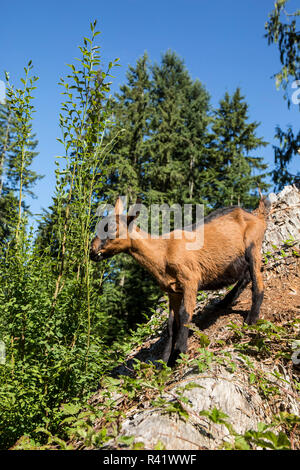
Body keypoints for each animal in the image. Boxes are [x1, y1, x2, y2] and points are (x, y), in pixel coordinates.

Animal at [89, 196, 270, 366]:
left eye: (112, 228)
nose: (92, 251)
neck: (163, 252)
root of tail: (255, 216)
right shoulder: (173, 291)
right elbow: (171, 325)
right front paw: (163, 360)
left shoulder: (190, 280)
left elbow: (184, 314)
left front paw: (179, 353)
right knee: (246, 276)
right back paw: (224, 302)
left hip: (253, 245)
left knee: (257, 281)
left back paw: (251, 319)